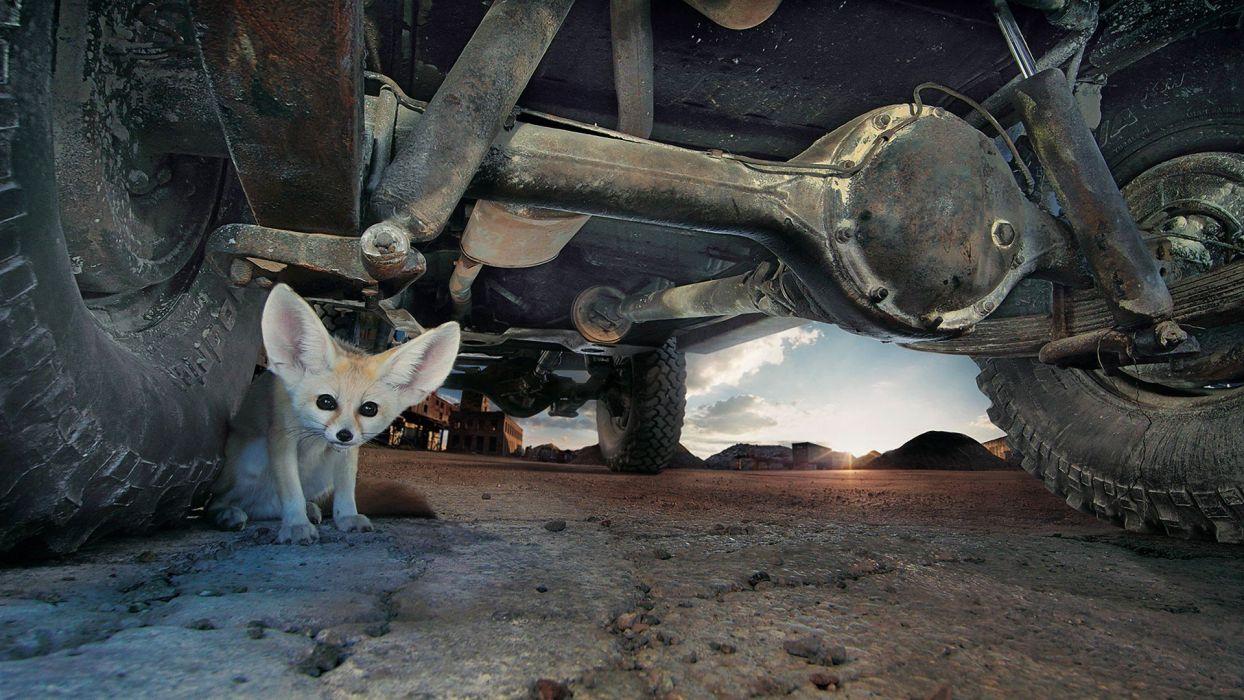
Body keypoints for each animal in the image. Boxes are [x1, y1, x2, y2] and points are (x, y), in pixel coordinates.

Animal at [208, 283, 460, 544]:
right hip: (253, 457)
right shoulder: (282, 438)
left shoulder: (347, 453)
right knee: (218, 502)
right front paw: (296, 524)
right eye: (325, 402)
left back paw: (307, 509)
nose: (344, 435)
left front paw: (346, 517)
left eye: (369, 409)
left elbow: (346, 490)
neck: (314, 439)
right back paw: (228, 513)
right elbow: (291, 490)